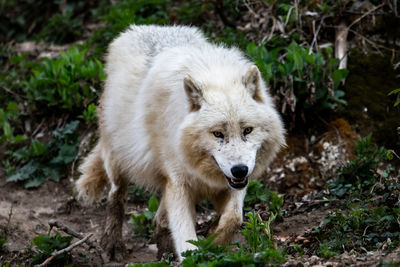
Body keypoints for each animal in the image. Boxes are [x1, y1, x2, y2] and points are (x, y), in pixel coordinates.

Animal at [76, 24, 284, 262]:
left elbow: (234, 218)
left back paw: (165, 252)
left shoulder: (229, 184)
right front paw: (197, 256)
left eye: (247, 130)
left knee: (159, 219)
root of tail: (141, 28)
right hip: (119, 161)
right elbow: (186, 238)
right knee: (115, 197)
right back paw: (112, 245)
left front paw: (213, 242)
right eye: (217, 134)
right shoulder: (179, 184)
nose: (239, 170)